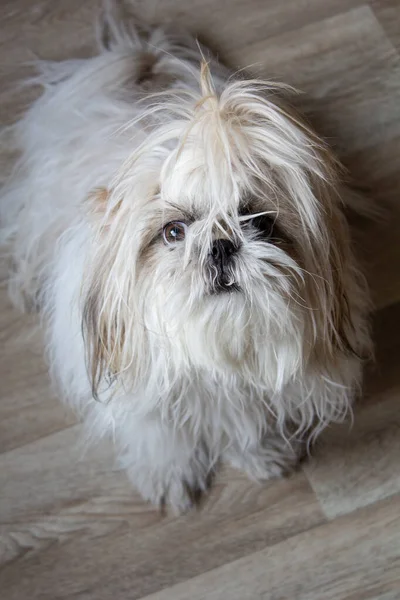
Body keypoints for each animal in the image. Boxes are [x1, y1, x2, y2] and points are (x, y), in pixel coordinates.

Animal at [1, 2, 374, 512]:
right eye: (174, 232)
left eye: (260, 223)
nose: (220, 245)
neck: (207, 351)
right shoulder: (138, 395)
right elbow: (161, 435)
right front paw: (169, 476)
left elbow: (241, 418)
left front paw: (261, 453)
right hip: (41, 205)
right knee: (23, 232)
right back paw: (23, 284)